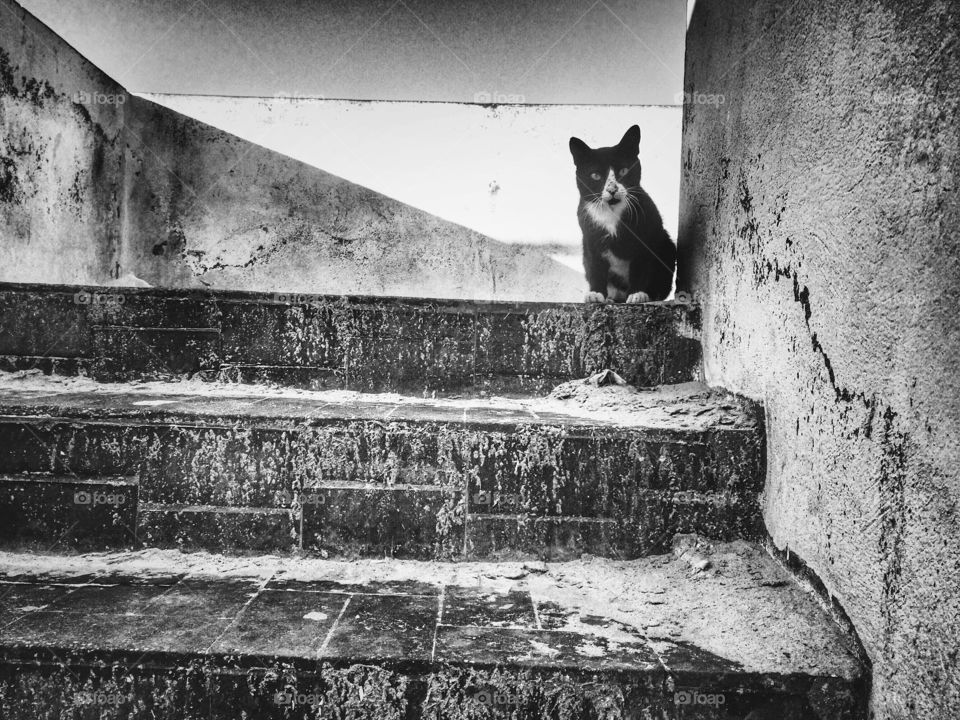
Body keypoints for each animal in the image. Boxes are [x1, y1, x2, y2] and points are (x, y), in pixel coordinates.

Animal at [568, 125, 676, 302]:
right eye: (595, 175)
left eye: (624, 171)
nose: (612, 189)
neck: (611, 213)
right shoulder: (590, 240)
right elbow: (595, 268)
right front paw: (596, 294)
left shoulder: (646, 238)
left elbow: (640, 268)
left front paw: (637, 294)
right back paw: (611, 298)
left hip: (667, 246)